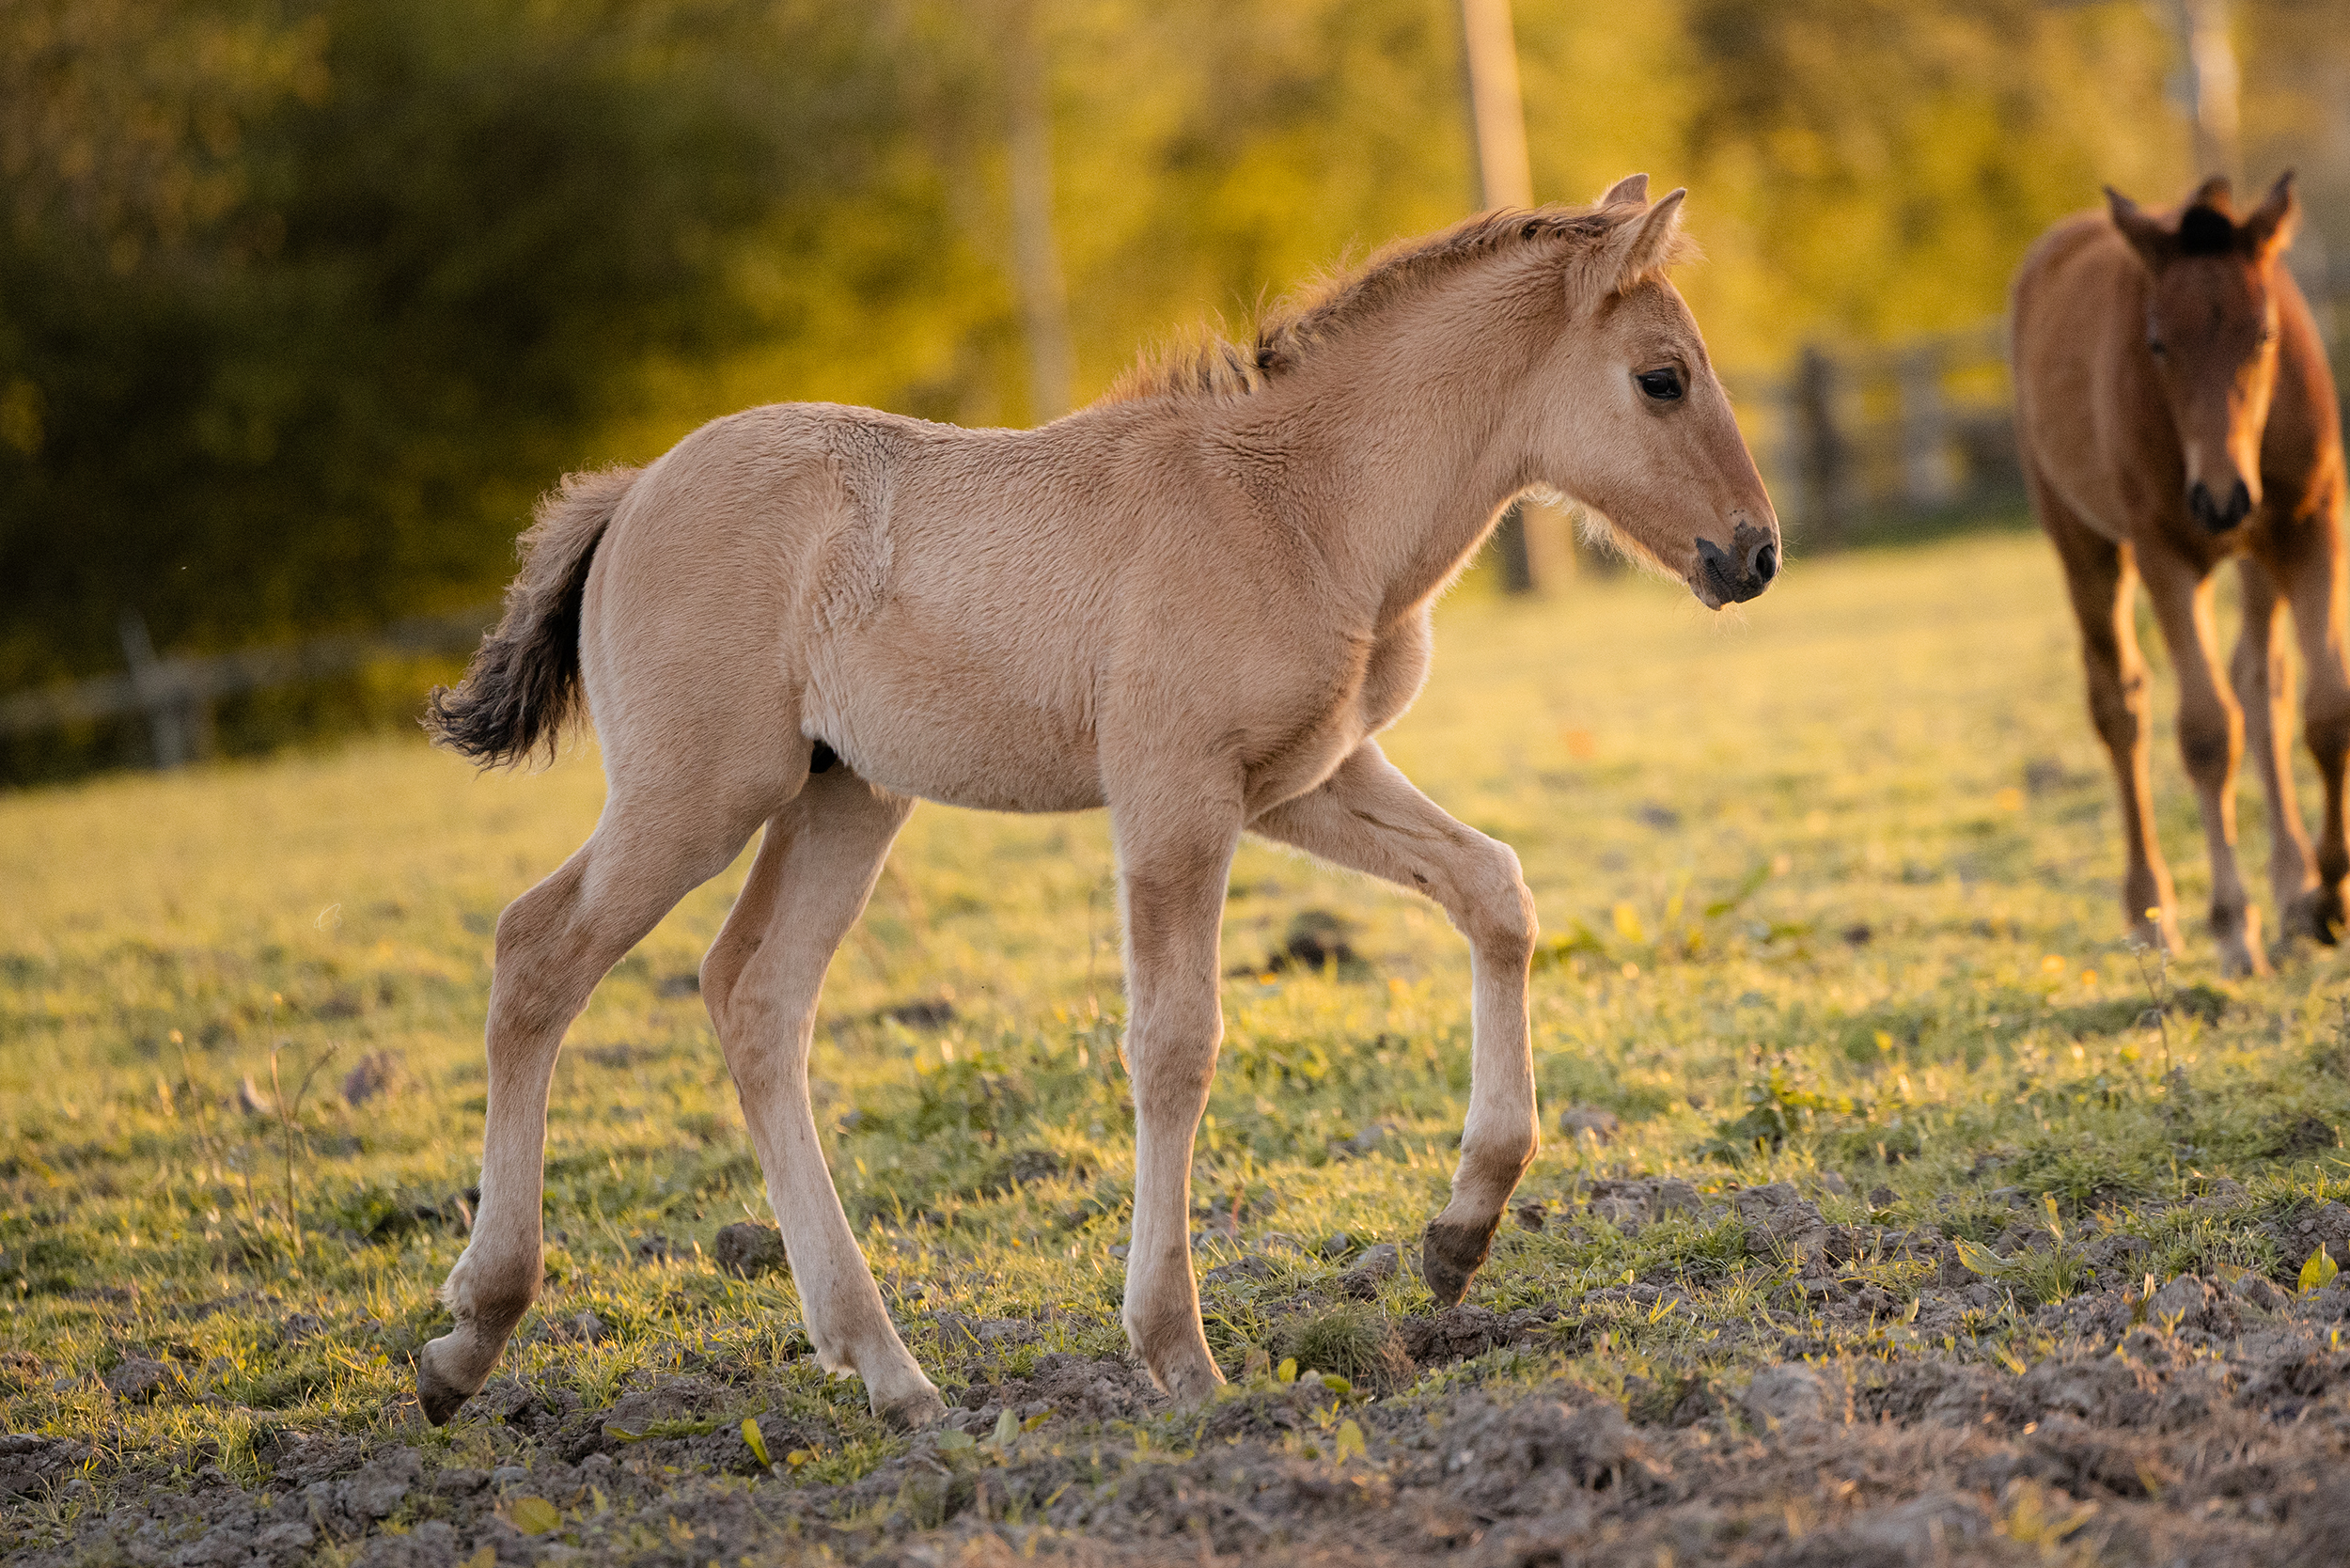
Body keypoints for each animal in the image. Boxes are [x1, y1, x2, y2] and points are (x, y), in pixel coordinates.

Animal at [418, 177, 1777, 1429]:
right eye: (1661, 379)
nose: (1754, 554)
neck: (1298, 506)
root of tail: (633, 492)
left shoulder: (1305, 780)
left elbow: (1493, 887)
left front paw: (1459, 1234)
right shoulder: (1175, 794)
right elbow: (1174, 1044)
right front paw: (1180, 1353)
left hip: (843, 799)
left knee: (754, 997)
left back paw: (890, 1374)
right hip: (695, 791)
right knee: (536, 953)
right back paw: (468, 1340)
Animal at [2012, 177, 2341, 973]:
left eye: (2264, 334)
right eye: (2158, 343)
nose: (2220, 499)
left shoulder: (2312, 529)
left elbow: (2327, 711)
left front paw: (2327, 898)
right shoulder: (2165, 555)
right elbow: (2205, 733)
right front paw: (2233, 928)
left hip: (2260, 555)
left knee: (2261, 681)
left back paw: (2294, 888)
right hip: (2087, 545)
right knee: (2121, 704)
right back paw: (2151, 914)